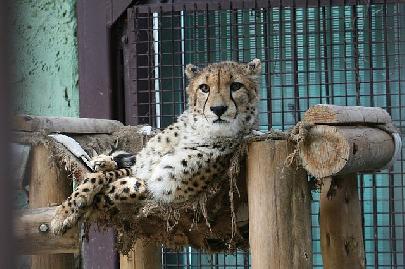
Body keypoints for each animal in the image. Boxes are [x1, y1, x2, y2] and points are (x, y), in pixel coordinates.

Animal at [50, 58, 260, 232]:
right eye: (204, 88)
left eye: (236, 86)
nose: (218, 109)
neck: (196, 131)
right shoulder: (141, 170)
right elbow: (97, 178)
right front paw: (64, 212)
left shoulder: (160, 193)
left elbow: (119, 189)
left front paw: (88, 205)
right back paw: (102, 161)